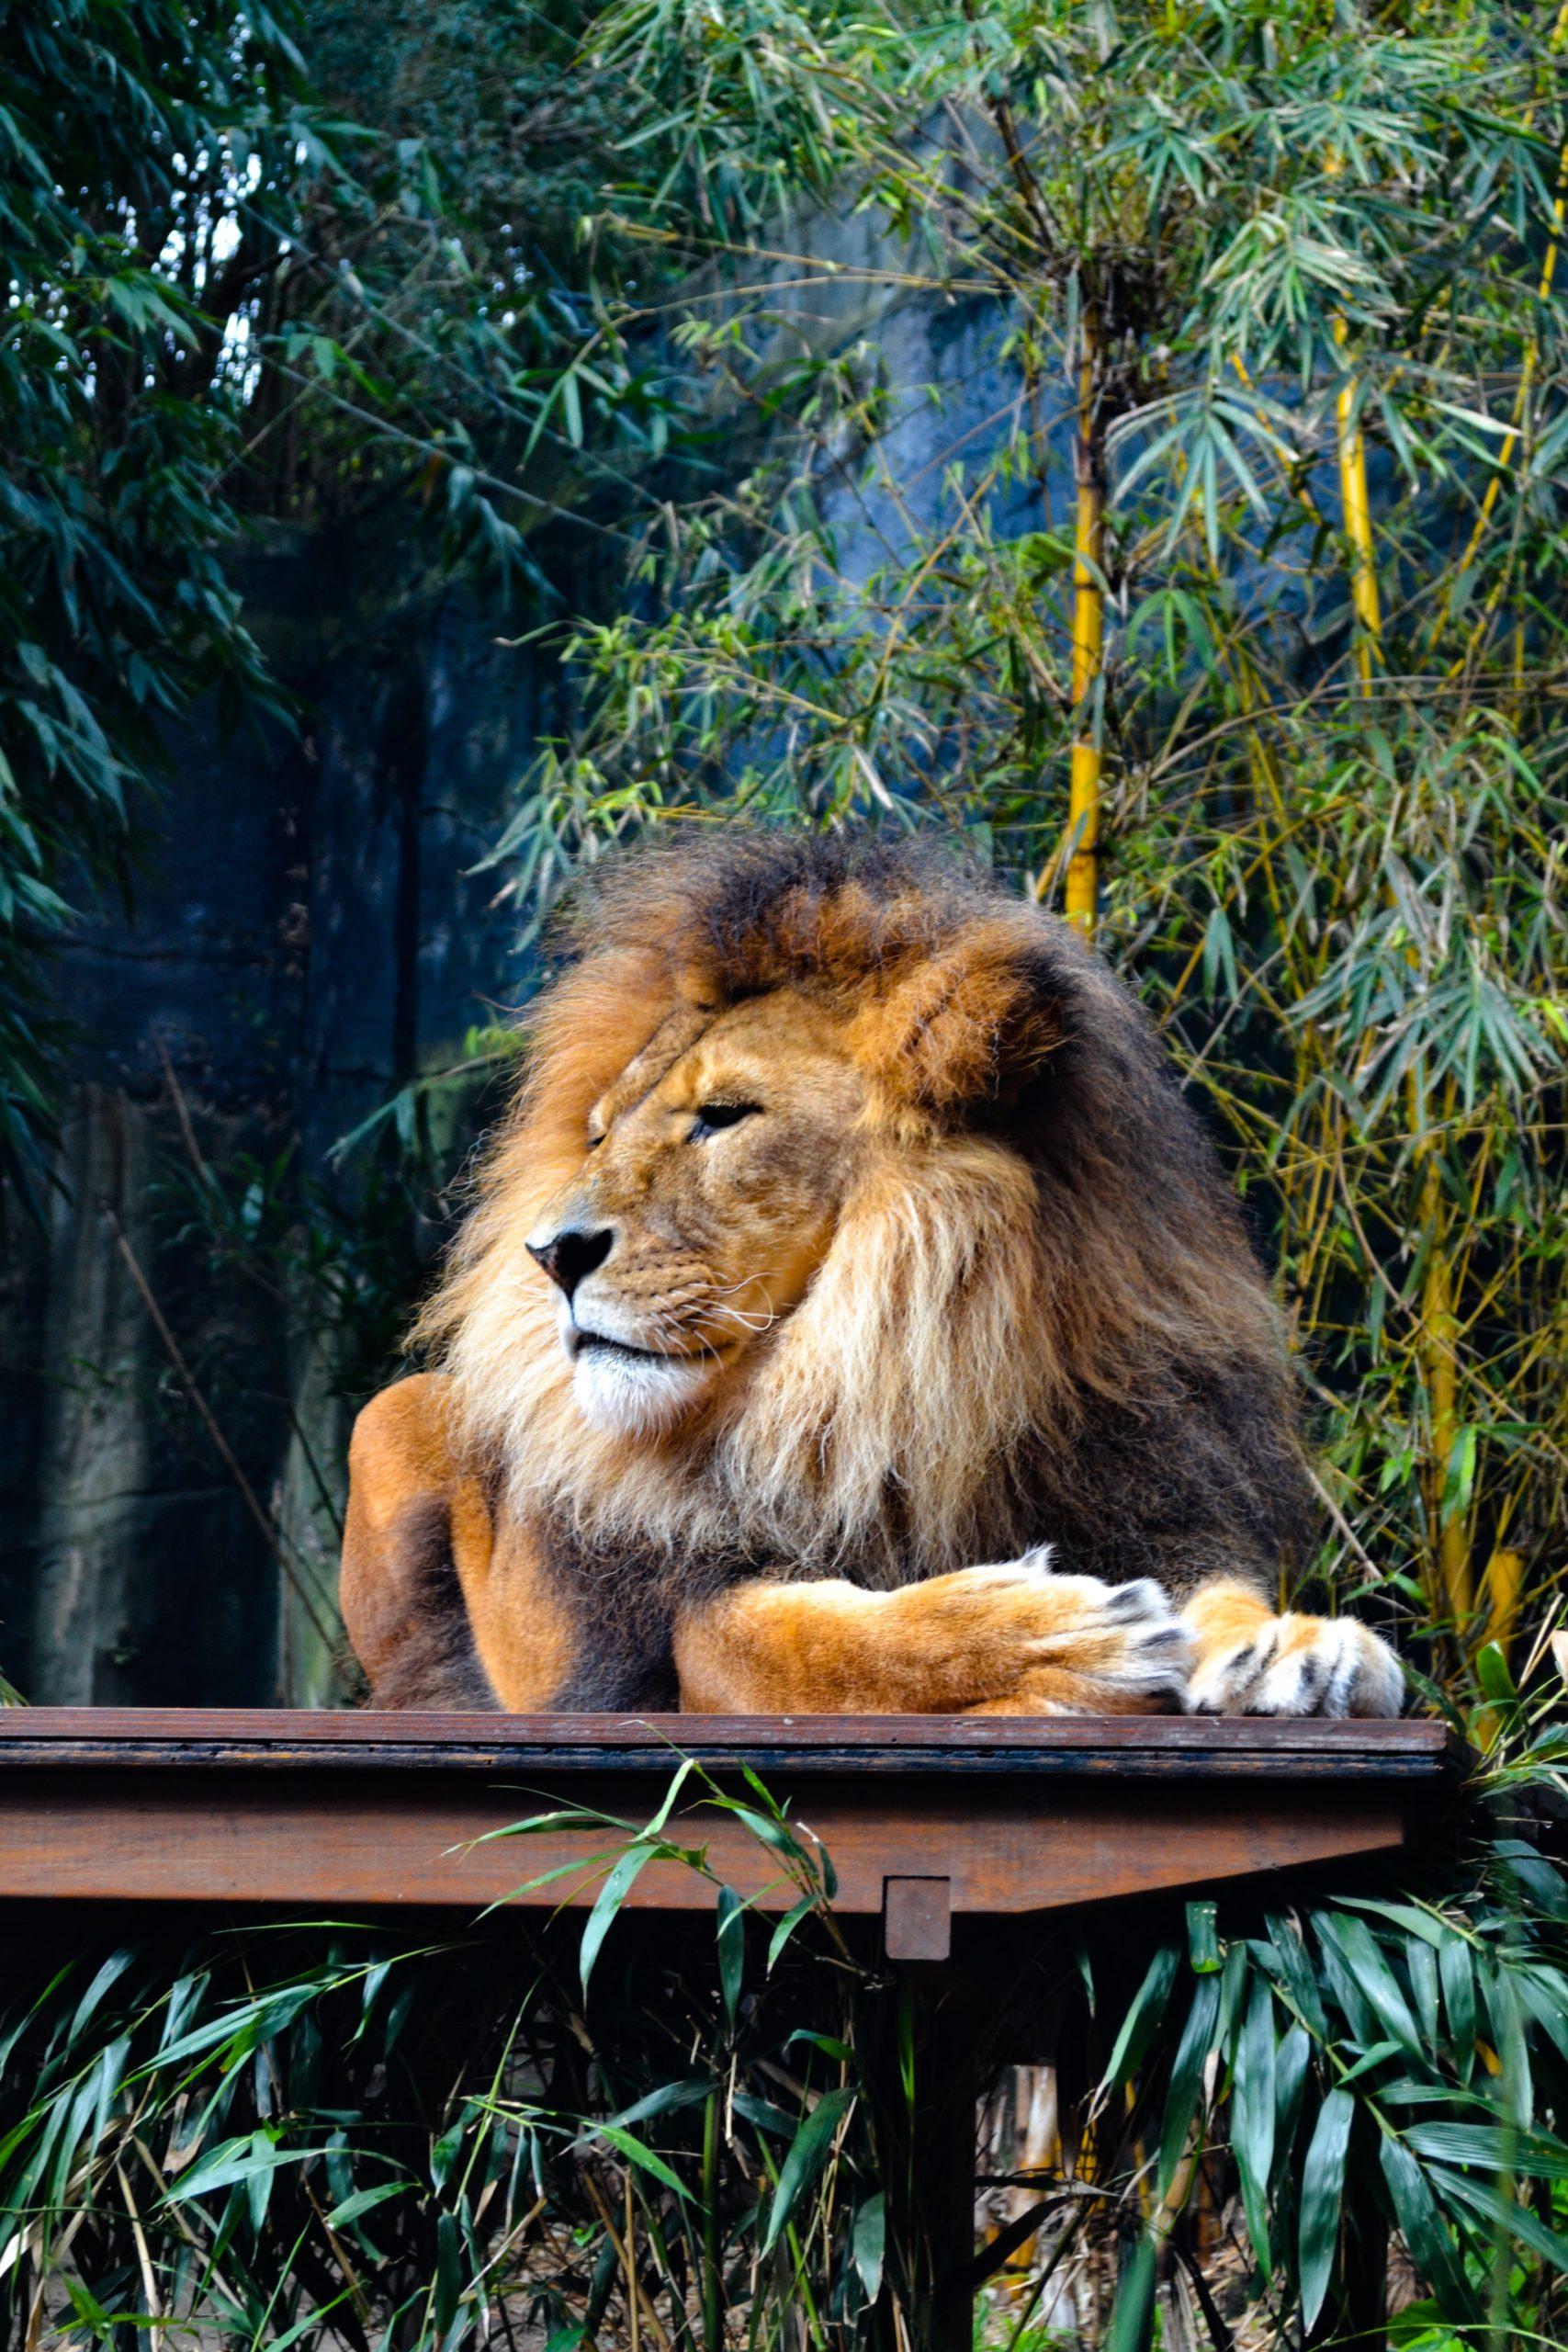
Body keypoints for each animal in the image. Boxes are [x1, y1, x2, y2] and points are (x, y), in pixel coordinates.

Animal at [341, 837, 1401, 1721]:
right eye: (599, 1135)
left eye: (724, 1115)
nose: (551, 1253)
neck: (888, 1393)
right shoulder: (680, 1637)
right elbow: (816, 1641)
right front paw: (1063, 1638)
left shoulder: (1149, 1488)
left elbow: (1222, 1588)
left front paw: (1295, 1648)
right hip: (391, 1416)